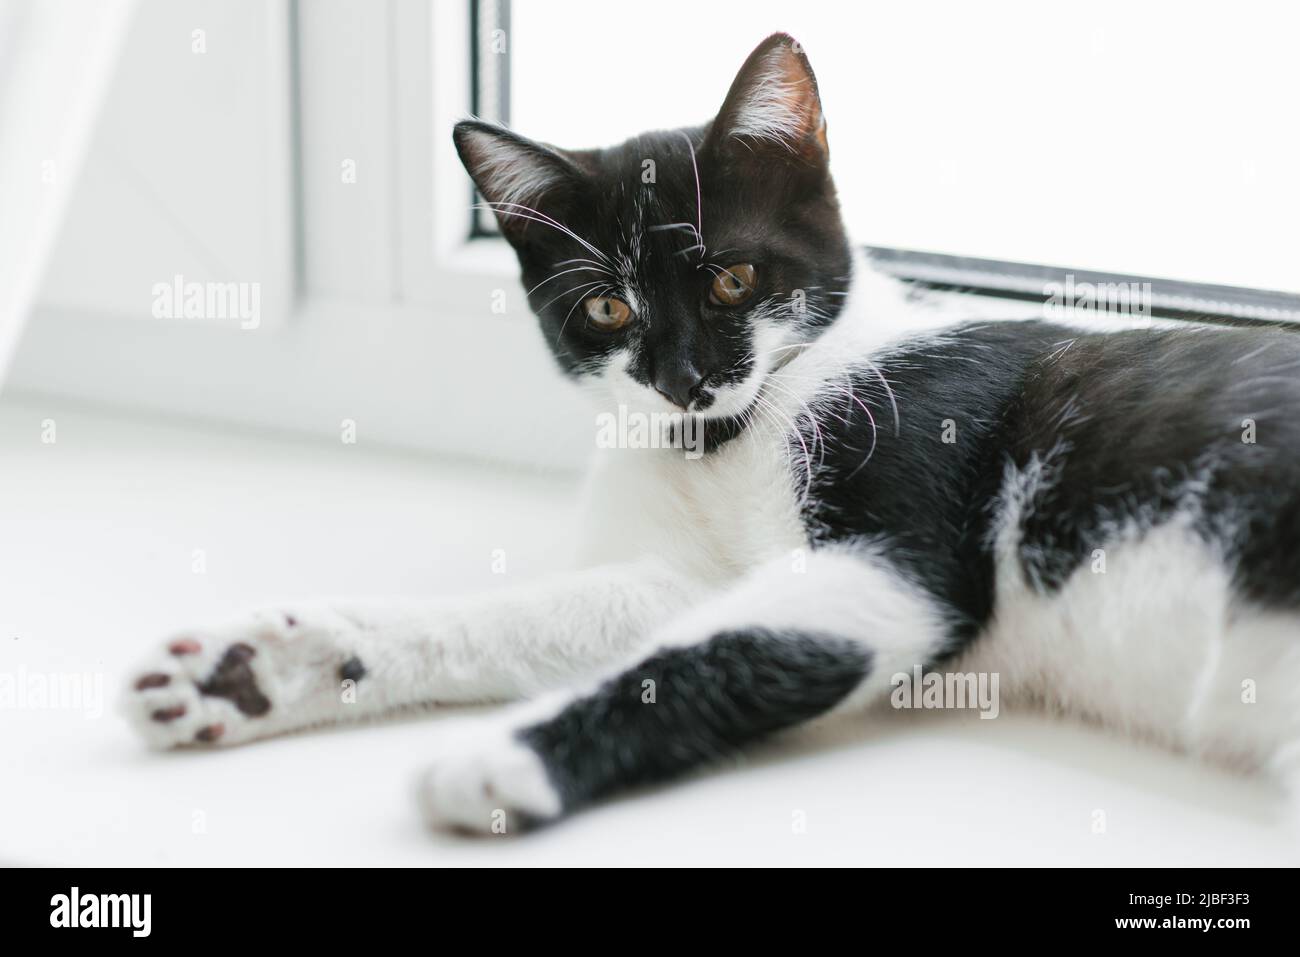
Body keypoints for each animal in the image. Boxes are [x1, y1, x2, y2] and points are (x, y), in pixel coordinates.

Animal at [122, 33, 1300, 832]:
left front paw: (499, 757)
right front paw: (262, 668)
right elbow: (543, 616)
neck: (731, 441)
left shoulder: (897, 553)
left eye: (734, 278)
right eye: (607, 309)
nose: (684, 381)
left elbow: (705, 650)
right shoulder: (679, 574)